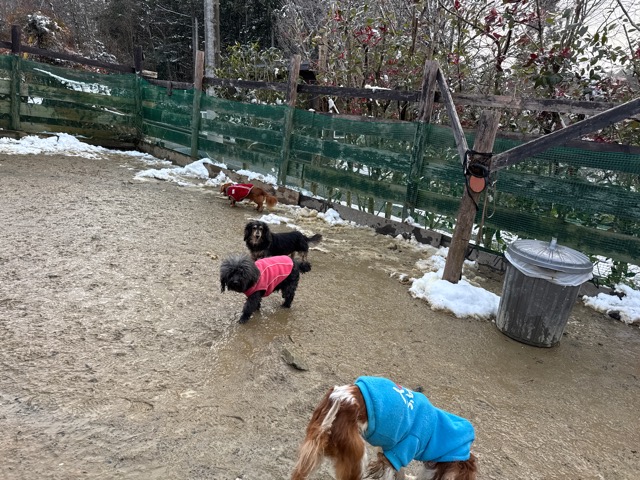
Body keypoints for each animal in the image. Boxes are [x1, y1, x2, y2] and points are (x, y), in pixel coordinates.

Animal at [291, 376, 477, 480]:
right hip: (357, 459)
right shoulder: (399, 453)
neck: (437, 433)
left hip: (312, 454)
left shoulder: (393, 454)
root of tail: (337, 398)